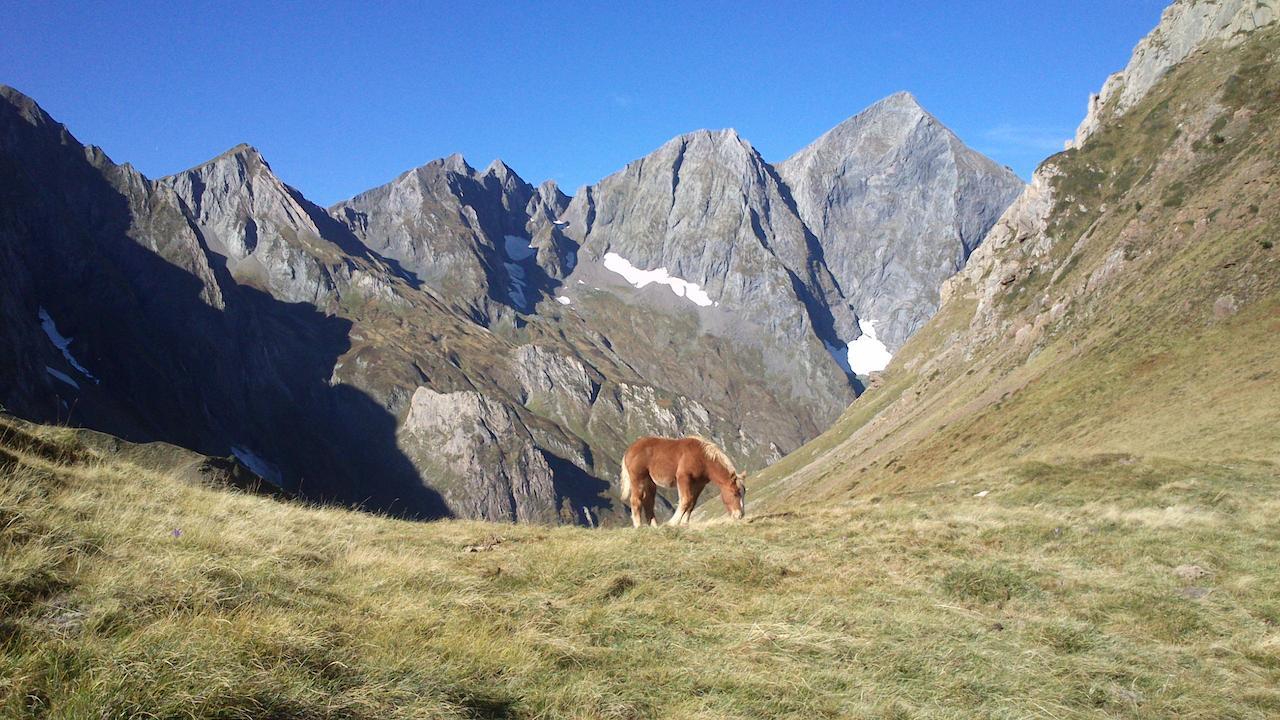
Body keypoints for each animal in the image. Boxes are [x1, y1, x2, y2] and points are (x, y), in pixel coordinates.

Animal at [616, 430, 747, 527]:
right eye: (735, 493)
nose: (740, 515)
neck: (702, 458)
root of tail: (630, 449)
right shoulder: (683, 478)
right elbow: (686, 500)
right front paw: (672, 523)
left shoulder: (699, 483)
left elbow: (692, 502)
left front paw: (684, 523)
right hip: (637, 479)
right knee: (636, 500)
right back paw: (638, 526)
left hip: (650, 482)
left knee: (648, 502)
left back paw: (654, 527)